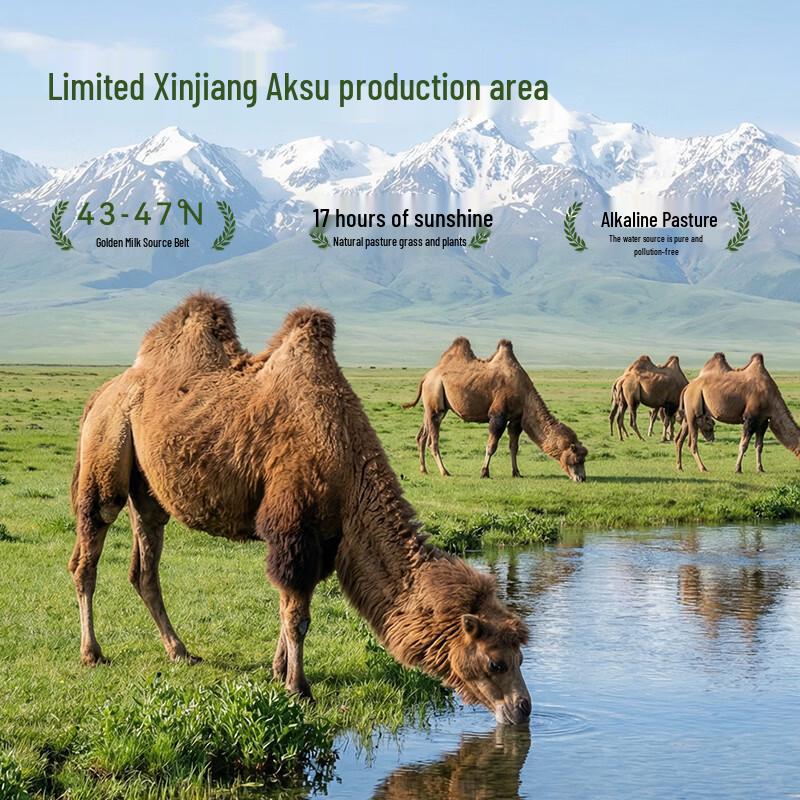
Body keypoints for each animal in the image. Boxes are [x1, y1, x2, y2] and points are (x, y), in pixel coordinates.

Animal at [69, 294, 532, 724]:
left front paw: (278, 671)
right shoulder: (295, 528)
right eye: (496, 662)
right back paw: (92, 652)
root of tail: (100, 394)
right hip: (106, 453)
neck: (348, 463)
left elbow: (287, 608)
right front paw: (299, 688)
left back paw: (180, 651)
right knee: (88, 552)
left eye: (521, 657)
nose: (523, 708)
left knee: (144, 567)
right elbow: (298, 616)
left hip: (147, 490)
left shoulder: (323, 539)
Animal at [403, 338, 587, 481]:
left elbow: (514, 446)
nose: (581, 478)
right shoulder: (498, 415)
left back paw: (424, 470)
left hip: (433, 406)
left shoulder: (516, 419)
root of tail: (426, 377)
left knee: (422, 436)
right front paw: (484, 472)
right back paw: (445, 472)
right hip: (435, 398)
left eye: (583, 458)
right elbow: (491, 445)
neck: (525, 394)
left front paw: (516, 472)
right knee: (432, 441)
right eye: (576, 459)